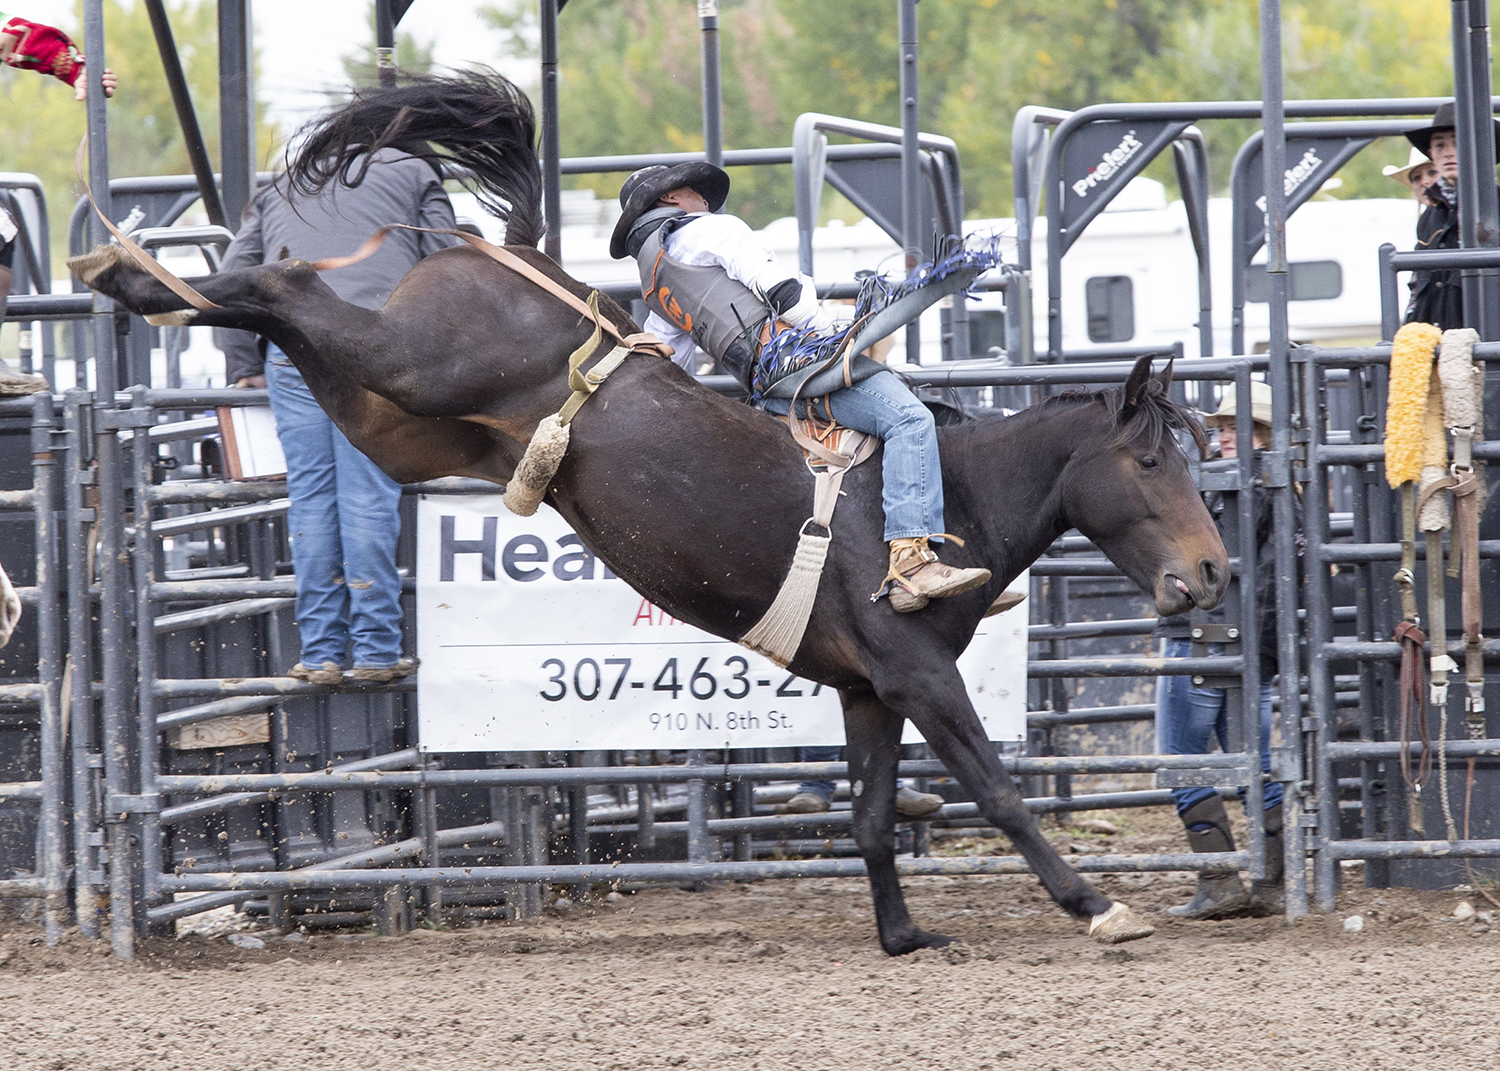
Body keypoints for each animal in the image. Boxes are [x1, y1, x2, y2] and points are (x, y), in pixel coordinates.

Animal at [67, 69, 1230, 954]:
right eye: (1151, 457)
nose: (1213, 571)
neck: (958, 491)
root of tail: (518, 254)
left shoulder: (870, 688)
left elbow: (868, 815)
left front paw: (903, 934)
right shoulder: (918, 674)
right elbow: (996, 788)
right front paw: (1097, 904)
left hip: (401, 419)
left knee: (301, 326)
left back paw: (146, 282)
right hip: (412, 360)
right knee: (289, 289)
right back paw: (128, 267)